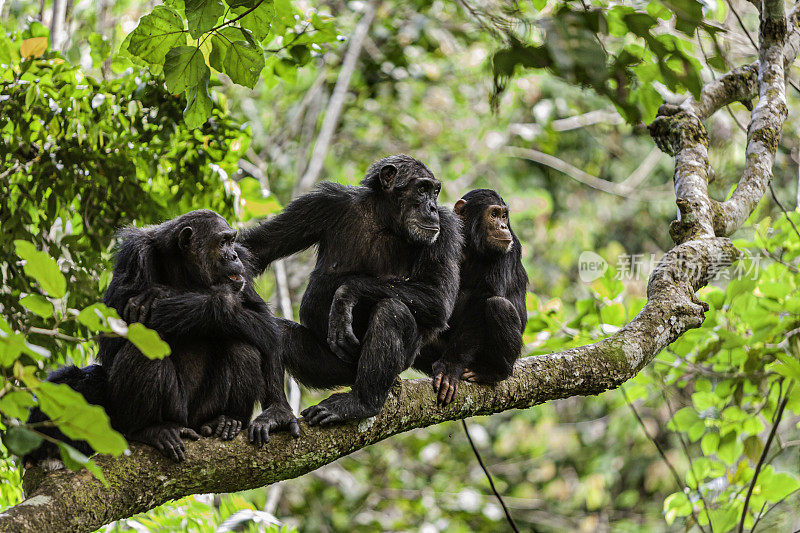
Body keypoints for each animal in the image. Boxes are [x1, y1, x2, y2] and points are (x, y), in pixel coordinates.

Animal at [239, 152, 462, 430]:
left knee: (392, 311)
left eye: (435, 191)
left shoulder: (447, 230)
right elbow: (257, 248)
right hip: (331, 367)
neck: (384, 218)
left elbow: (438, 297)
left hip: (401, 362)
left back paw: (361, 403)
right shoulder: (321, 203)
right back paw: (277, 412)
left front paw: (345, 295)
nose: (431, 207)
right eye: (422, 189)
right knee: (276, 333)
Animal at [412, 189, 532, 406]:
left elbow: (483, 300)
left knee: (498, 306)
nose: (503, 226)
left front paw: (450, 368)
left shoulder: (508, 251)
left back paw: (492, 372)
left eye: (504, 216)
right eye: (493, 214)